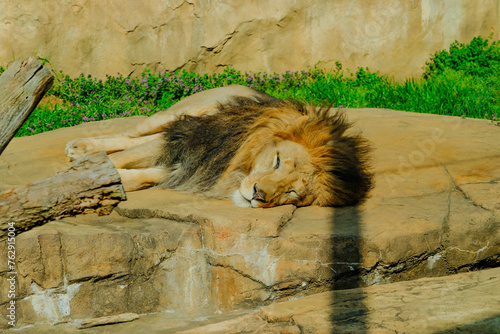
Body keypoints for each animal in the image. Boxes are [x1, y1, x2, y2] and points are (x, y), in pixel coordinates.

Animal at [65, 85, 372, 207]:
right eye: (277, 161)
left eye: (293, 192)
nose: (258, 195)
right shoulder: (186, 140)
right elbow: (125, 157)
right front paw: (77, 179)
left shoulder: (189, 169)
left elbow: (140, 177)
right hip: (177, 114)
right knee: (131, 136)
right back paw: (80, 147)